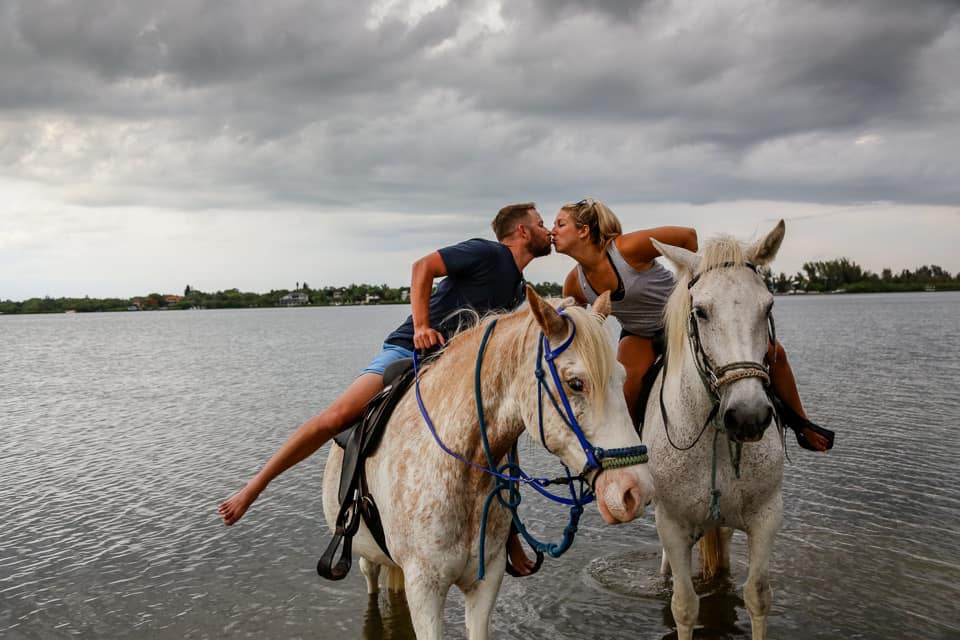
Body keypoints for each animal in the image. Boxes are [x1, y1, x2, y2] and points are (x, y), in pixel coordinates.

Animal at [320, 286, 652, 640]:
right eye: (576, 383)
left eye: (621, 378)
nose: (636, 491)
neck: (461, 470)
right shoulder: (424, 587)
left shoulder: (486, 581)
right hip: (367, 555)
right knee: (370, 576)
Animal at [644, 220, 788, 640]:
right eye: (701, 311)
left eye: (768, 306)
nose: (748, 416)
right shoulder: (672, 525)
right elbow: (684, 605)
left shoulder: (766, 516)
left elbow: (757, 596)